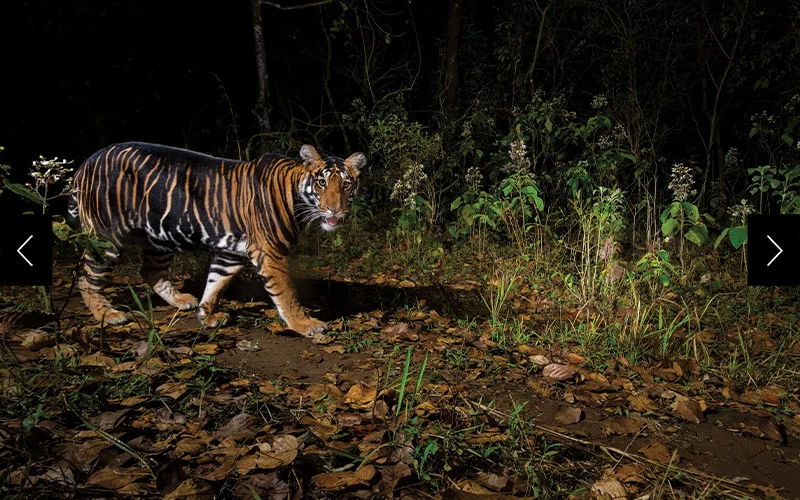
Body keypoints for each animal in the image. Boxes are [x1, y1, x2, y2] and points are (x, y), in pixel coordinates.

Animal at [68, 142, 365, 337]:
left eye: (346, 184)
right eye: (322, 183)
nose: (335, 209)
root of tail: (85, 163)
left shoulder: (230, 254)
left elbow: (215, 283)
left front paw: (206, 315)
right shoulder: (270, 252)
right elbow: (286, 293)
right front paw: (305, 325)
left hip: (160, 237)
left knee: (151, 272)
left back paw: (181, 300)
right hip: (106, 236)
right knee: (86, 278)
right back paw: (108, 315)